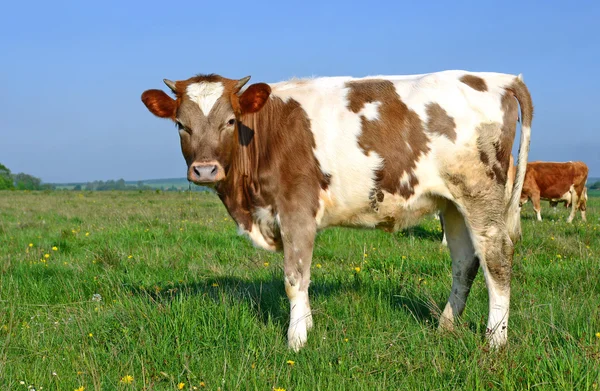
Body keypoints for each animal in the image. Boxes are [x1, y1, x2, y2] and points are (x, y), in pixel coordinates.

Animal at [142, 69, 536, 352]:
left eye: (229, 121)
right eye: (181, 124)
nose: (205, 169)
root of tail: (499, 77)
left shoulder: (296, 210)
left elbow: (294, 278)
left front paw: (296, 340)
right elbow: (302, 278)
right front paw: (307, 326)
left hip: (480, 193)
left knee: (496, 257)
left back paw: (495, 340)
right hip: (451, 204)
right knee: (465, 261)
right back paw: (445, 326)